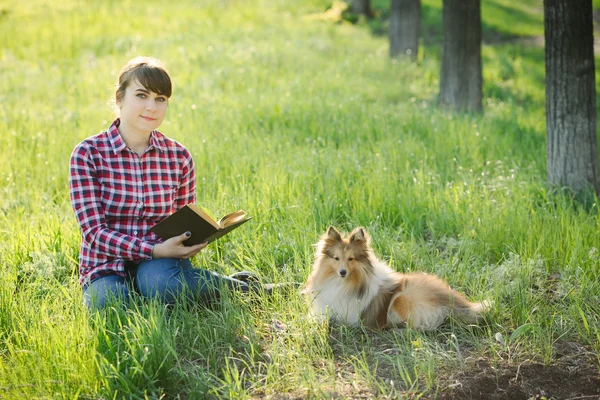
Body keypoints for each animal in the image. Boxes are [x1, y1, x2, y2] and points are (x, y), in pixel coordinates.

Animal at [302, 227, 490, 330]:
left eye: (351, 259)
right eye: (336, 258)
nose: (342, 272)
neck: (344, 283)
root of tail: (458, 303)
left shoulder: (347, 316)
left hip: (402, 297)